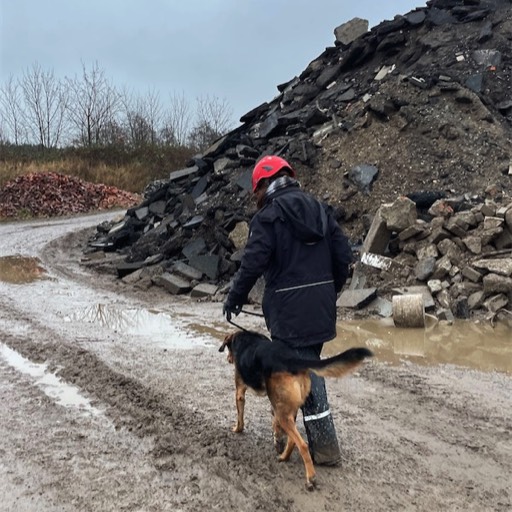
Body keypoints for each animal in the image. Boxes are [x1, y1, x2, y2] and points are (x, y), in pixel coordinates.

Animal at [219, 330, 372, 490]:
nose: (229, 359)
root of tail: (292, 360)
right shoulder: (278, 406)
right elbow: (275, 425)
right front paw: (277, 440)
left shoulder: (240, 392)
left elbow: (240, 416)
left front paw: (237, 429)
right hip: (288, 410)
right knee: (292, 440)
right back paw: (283, 457)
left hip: (283, 414)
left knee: (302, 445)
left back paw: (310, 478)